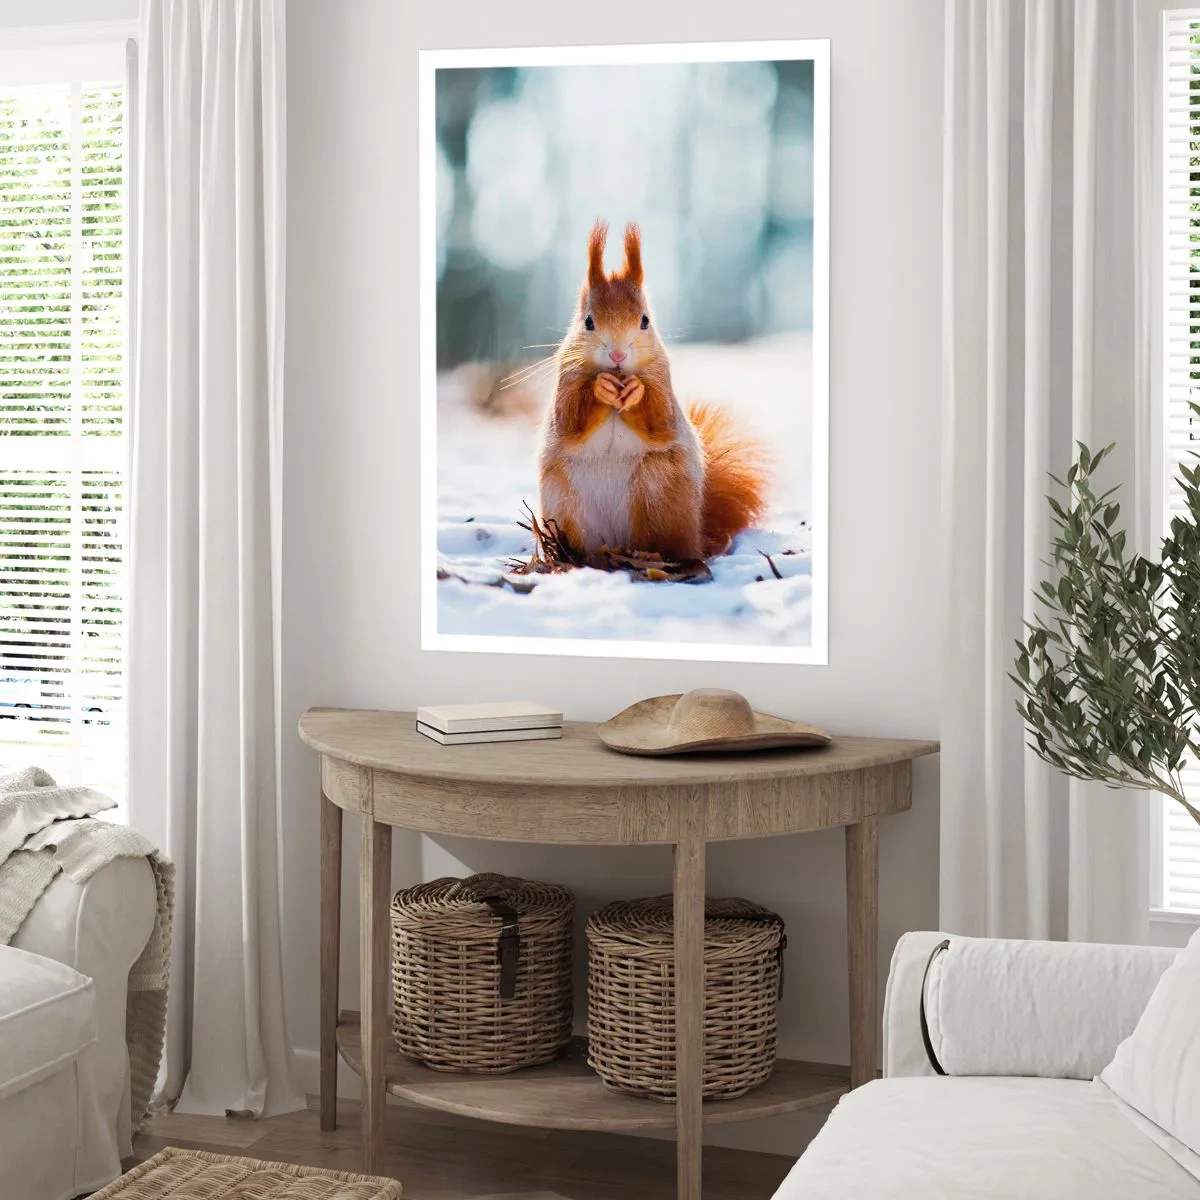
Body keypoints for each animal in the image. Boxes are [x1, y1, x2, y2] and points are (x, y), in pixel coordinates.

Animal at [538, 220, 768, 564]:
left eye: (645, 320)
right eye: (588, 322)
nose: (618, 356)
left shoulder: (663, 382)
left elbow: (661, 421)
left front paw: (636, 391)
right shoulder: (565, 381)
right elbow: (568, 420)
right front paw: (599, 387)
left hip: (658, 491)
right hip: (563, 501)